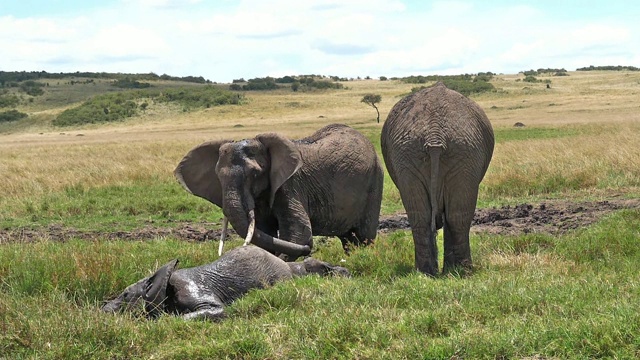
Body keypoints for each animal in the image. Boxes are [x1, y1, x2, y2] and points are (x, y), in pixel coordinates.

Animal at [175, 124, 382, 258]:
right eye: (218, 177)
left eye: (255, 173)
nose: (309, 250)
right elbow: (264, 230)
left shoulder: (290, 185)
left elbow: (297, 232)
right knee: (348, 239)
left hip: (375, 180)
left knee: (364, 236)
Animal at [380, 81, 496, 276]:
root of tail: (435, 136)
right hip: (458, 151)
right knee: (454, 216)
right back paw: (458, 271)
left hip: (429, 152)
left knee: (425, 216)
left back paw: (431, 272)